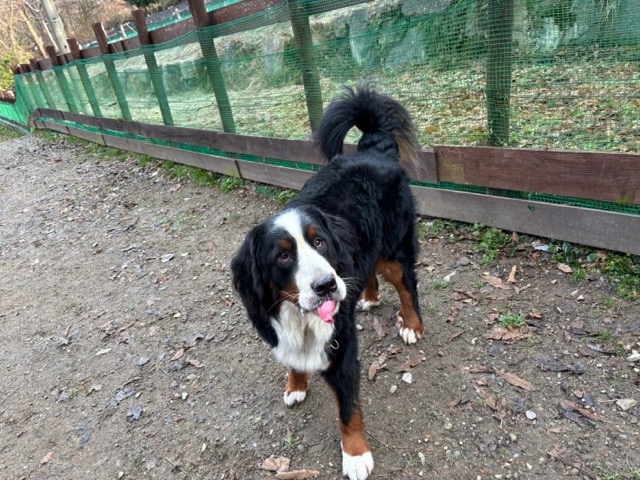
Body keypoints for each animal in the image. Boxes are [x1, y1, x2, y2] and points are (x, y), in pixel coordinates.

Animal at [231, 85, 423, 480]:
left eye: (319, 241)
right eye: (283, 256)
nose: (326, 286)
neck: (299, 314)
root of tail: (373, 148)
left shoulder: (342, 346)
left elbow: (348, 409)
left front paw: (355, 454)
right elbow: (292, 357)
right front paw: (295, 384)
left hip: (393, 251)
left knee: (407, 285)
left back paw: (412, 324)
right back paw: (367, 296)